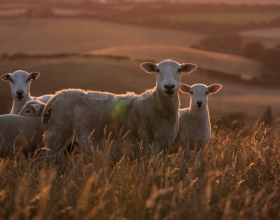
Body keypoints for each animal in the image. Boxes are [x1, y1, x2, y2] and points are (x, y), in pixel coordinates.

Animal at [43, 59, 197, 161]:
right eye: (157, 70)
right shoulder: (148, 146)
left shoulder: (163, 148)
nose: (169, 86)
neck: (157, 106)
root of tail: (55, 97)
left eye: (179, 70)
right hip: (56, 138)